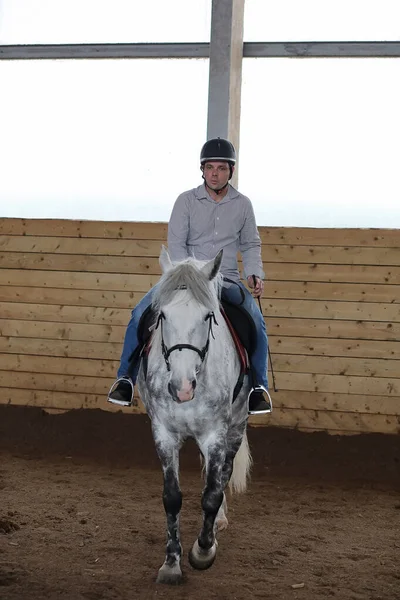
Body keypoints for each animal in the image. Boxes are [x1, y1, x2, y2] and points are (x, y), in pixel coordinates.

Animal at [136, 246, 252, 584]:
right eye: (162, 316)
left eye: (207, 316)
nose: (182, 387)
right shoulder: (163, 432)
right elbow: (172, 497)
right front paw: (171, 564)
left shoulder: (215, 434)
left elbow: (211, 494)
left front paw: (203, 551)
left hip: (235, 427)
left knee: (222, 475)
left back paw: (217, 524)